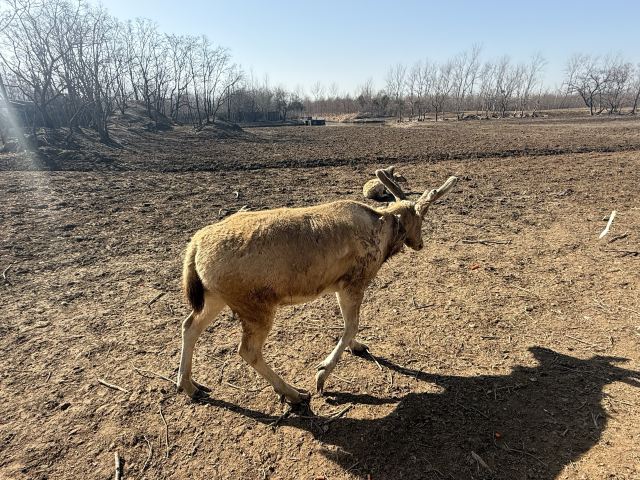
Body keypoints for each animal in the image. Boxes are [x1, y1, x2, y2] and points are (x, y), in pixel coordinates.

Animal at [177, 169, 458, 404]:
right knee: (247, 350)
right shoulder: (354, 280)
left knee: (190, 325)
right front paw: (322, 377)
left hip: (215, 295)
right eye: (421, 217)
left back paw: (190, 386)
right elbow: (351, 325)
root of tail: (194, 248)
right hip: (254, 304)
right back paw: (294, 393)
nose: (420, 244)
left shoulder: (337, 285)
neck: (384, 233)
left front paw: (358, 346)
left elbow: (349, 324)